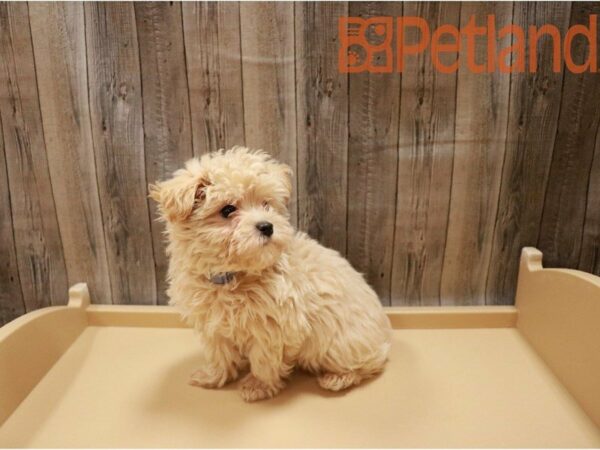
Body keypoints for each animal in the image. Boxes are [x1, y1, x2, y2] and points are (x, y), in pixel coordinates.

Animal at [150, 147, 392, 400]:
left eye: (266, 204)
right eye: (227, 210)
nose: (267, 226)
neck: (234, 276)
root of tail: (385, 334)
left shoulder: (273, 328)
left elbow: (263, 358)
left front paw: (258, 385)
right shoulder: (213, 325)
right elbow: (220, 353)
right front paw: (213, 376)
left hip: (340, 345)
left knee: (371, 363)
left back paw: (338, 378)